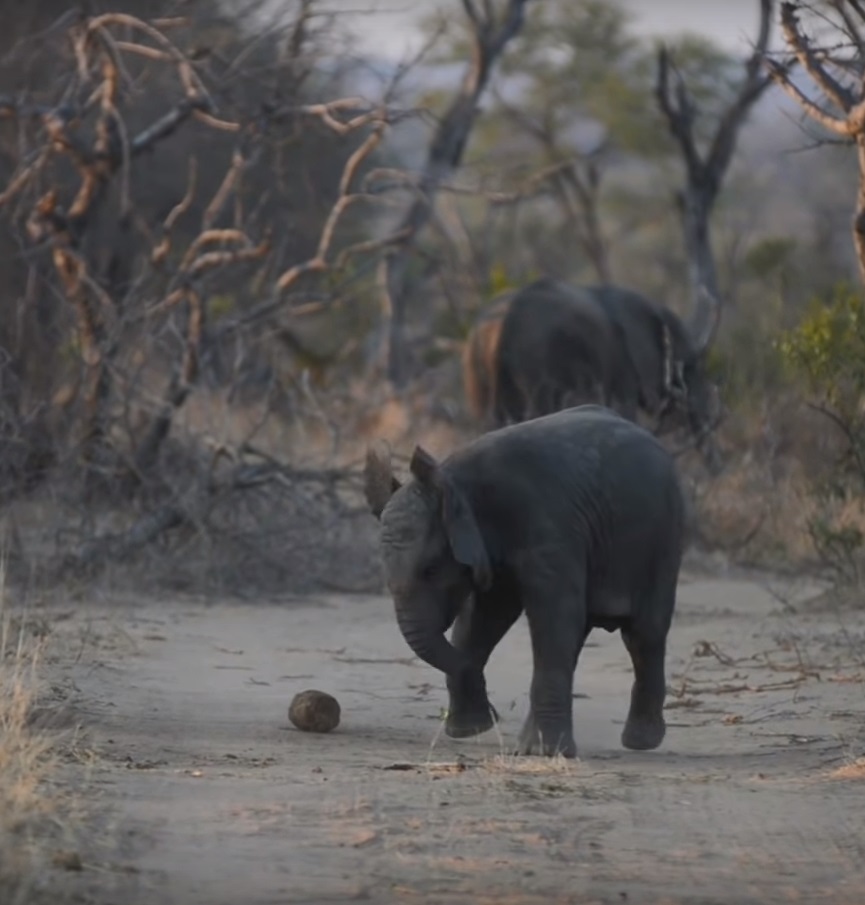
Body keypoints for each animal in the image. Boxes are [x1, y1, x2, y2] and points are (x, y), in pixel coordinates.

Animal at [362, 404, 684, 756]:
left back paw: (639, 743)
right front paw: (472, 729)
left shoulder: (550, 527)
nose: (496, 713)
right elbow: (483, 619)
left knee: (642, 634)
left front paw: (542, 752)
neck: (454, 481)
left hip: (664, 535)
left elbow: (552, 614)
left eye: (431, 569)